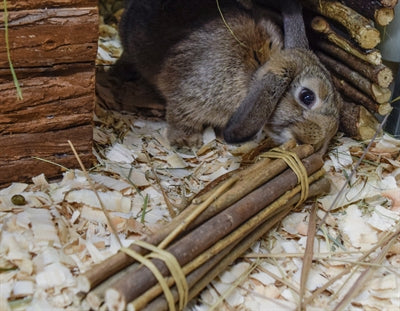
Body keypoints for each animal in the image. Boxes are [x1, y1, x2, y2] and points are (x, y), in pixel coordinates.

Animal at [119, 0, 340, 152]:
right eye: (307, 97)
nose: (318, 141)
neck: (253, 72)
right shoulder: (188, 97)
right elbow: (181, 117)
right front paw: (187, 142)